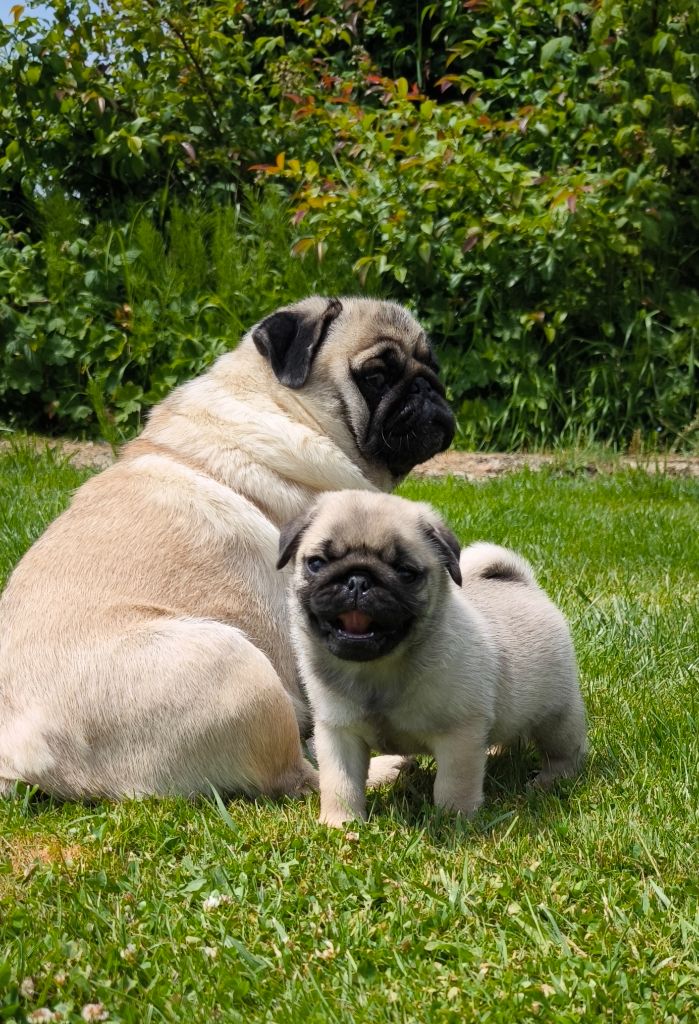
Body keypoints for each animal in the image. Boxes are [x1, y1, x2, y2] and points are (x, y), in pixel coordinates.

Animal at [0, 297, 455, 799]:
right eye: (376, 375)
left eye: (432, 366)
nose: (428, 388)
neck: (286, 408)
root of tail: (23, 754)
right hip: (239, 667)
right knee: (301, 775)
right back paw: (383, 770)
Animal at [279, 490, 587, 826]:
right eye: (316, 563)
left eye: (406, 573)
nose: (358, 580)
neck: (375, 670)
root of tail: (523, 584)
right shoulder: (338, 734)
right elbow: (340, 783)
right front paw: (340, 823)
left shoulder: (459, 736)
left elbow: (453, 785)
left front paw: (453, 821)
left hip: (556, 716)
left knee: (564, 751)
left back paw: (551, 779)